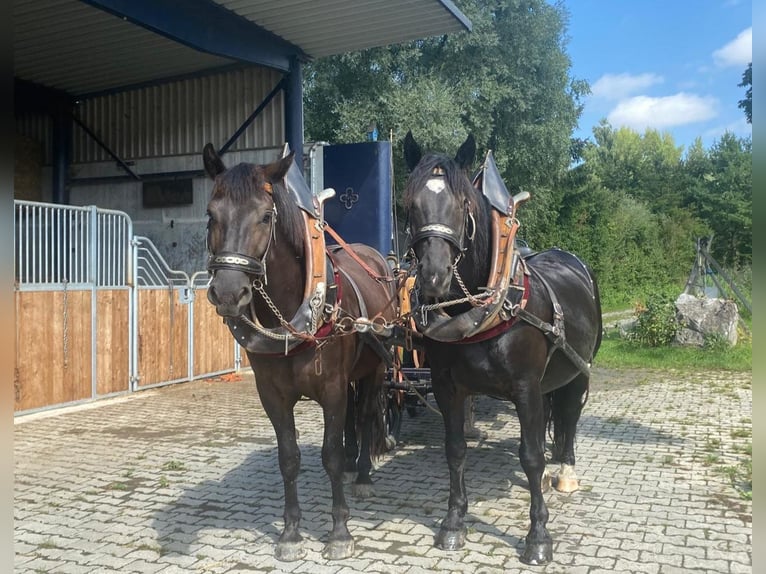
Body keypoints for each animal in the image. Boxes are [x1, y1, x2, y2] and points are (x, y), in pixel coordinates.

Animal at [202, 144, 398, 561]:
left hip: (374, 368)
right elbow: (289, 458)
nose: (228, 293)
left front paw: (339, 531)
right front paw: (290, 532)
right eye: (211, 214)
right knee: (354, 420)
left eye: (265, 215)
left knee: (366, 414)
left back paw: (363, 473)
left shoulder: (332, 389)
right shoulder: (272, 395)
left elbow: (331, 455)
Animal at [402, 132, 602, 565]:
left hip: (579, 369)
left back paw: (565, 471)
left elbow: (530, 456)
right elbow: (455, 449)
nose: (434, 277)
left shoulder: (525, 388)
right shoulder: (447, 387)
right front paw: (453, 524)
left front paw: (538, 537)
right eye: (408, 204)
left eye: (462, 204)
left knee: (569, 416)